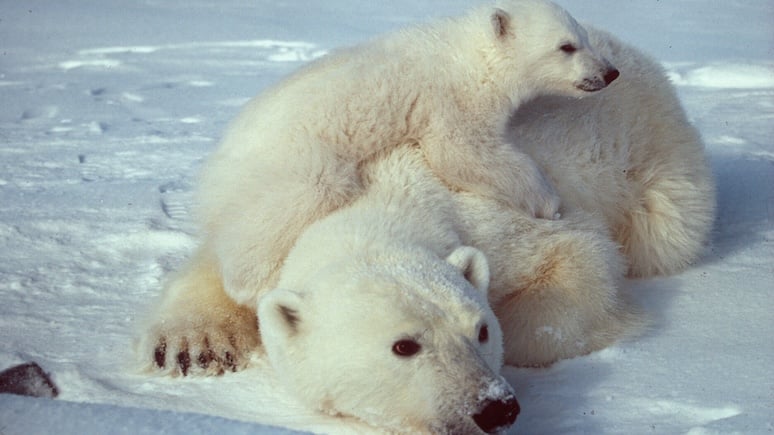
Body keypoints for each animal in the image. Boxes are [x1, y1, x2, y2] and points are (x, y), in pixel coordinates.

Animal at [196, 0, 620, 309]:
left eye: (584, 36)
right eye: (566, 46)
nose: (609, 73)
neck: (469, 55)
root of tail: (212, 173)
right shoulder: (451, 99)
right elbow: (462, 152)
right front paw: (549, 202)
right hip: (292, 160)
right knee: (296, 201)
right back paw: (254, 284)